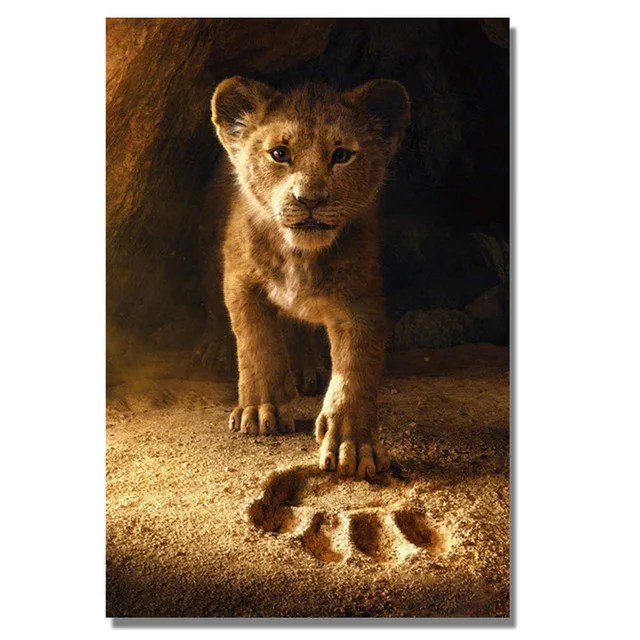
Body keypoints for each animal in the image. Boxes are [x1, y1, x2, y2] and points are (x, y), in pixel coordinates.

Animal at [208, 76, 410, 479]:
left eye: (342, 155)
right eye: (279, 153)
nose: (310, 199)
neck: (299, 255)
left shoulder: (360, 302)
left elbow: (355, 369)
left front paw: (353, 444)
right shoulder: (240, 281)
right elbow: (256, 343)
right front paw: (261, 409)